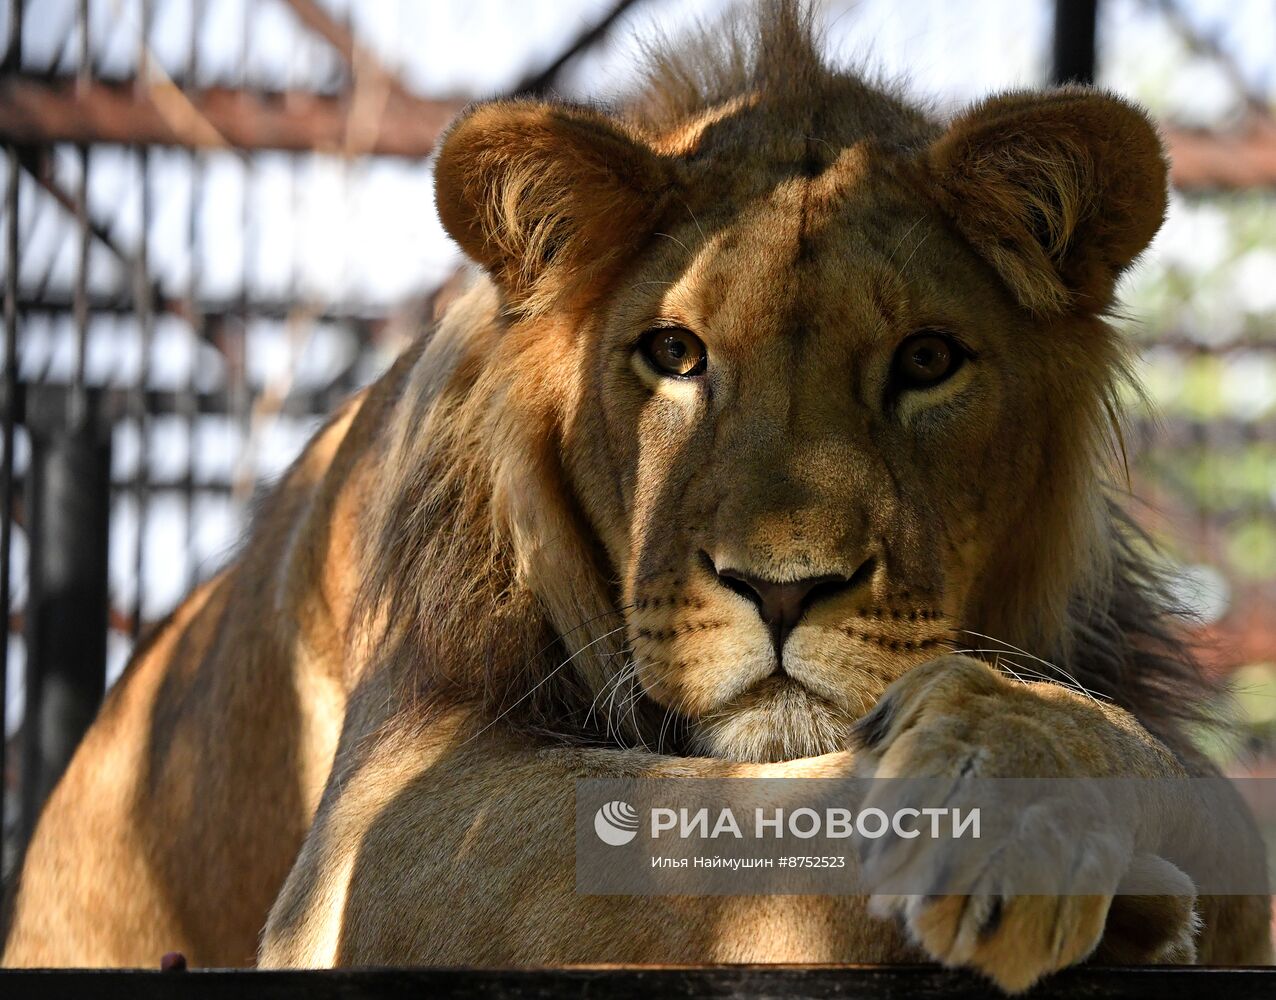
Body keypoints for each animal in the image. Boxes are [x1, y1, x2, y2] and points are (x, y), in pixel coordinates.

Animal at [4, 1, 1270, 989]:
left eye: (925, 361)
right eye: (674, 354)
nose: (782, 589)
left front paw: (1028, 771)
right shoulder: (378, 831)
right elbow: (707, 828)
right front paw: (990, 814)